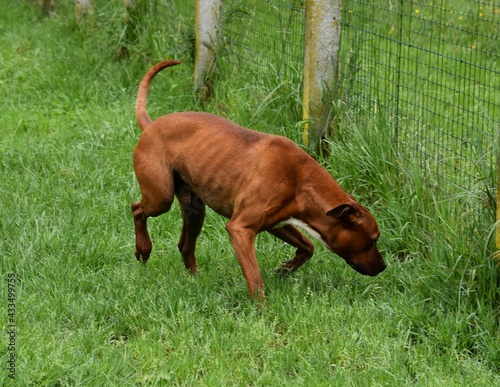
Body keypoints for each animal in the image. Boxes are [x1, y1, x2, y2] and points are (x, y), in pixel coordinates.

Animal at [130, 61, 386, 304]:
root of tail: (151, 125)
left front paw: (286, 269)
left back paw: (195, 279)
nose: (384, 266)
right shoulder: (241, 230)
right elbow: (254, 277)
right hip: (160, 197)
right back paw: (143, 249)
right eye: (374, 239)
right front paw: (262, 309)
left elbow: (308, 247)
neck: (299, 181)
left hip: (194, 210)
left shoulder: (277, 223)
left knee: (185, 245)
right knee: (137, 209)